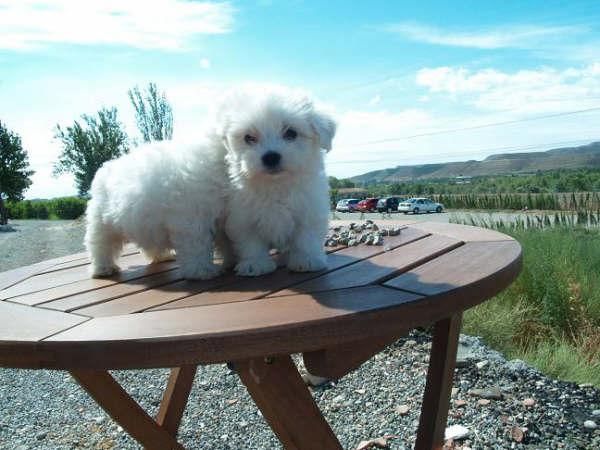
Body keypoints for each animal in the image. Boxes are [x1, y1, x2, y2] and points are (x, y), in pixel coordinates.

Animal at [86, 87, 336, 278]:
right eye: (249, 138)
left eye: (291, 133)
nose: (271, 156)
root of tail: (105, 169)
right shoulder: (195, 215)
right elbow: (200, 242)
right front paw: (202, 270)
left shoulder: (307, 210)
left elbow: (305, 238)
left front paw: (306, 261)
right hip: (102, 220)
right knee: (100, 243)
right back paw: (103, 267)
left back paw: (161, 255)